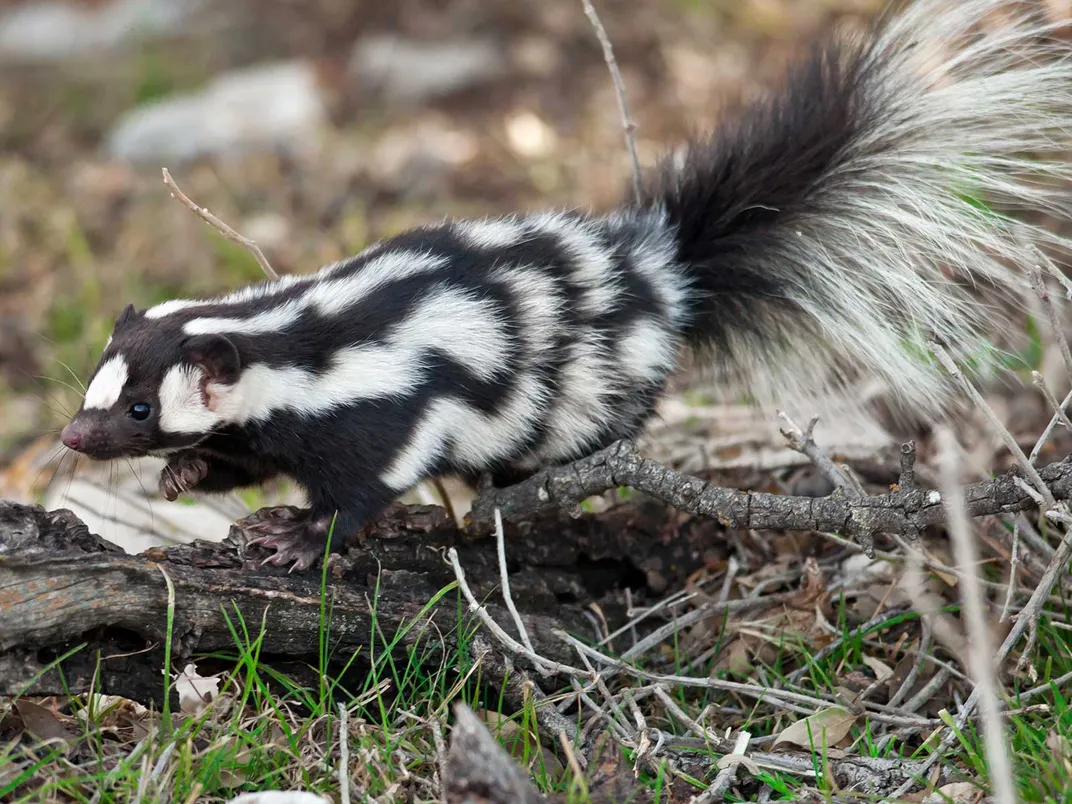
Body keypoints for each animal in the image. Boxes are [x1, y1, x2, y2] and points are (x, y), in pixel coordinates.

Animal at [60, 3, 1072, 574]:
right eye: (95, 391)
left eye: (139, 407)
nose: (73, 437)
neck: (297, 338)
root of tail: (661, 270)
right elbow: (247, 450)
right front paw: (194, 472)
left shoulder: (389, 400)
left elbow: (366, 482)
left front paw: (301, 537)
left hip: (593, 388)